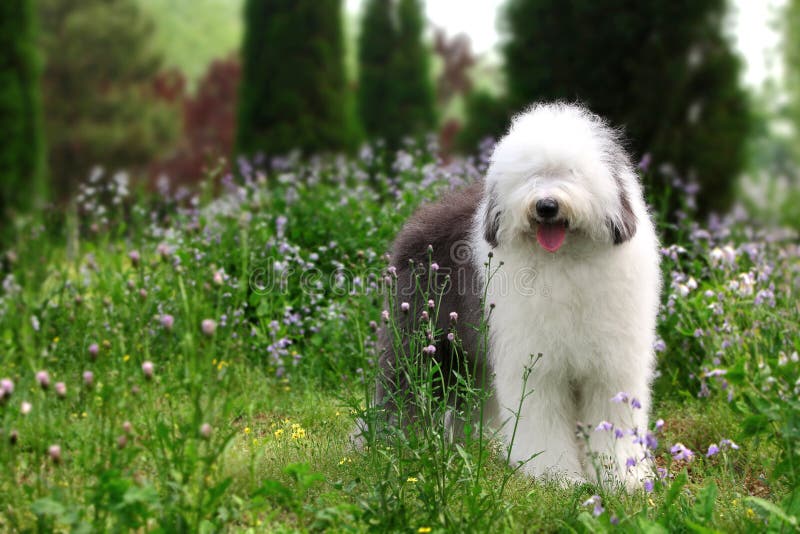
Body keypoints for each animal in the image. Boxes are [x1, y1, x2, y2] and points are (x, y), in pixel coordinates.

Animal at [366, 102, 660, 492]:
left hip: (469, 358)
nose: (546, 206)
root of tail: (417, 220)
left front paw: (622, 478)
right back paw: (398, 444)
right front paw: (556, 476)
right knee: (404, 387)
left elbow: (613, 420)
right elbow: (542, 420)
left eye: (570, 172)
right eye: (530, 176)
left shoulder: (612, 367)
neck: (565, 261)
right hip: (421, 341)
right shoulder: (537, 366)